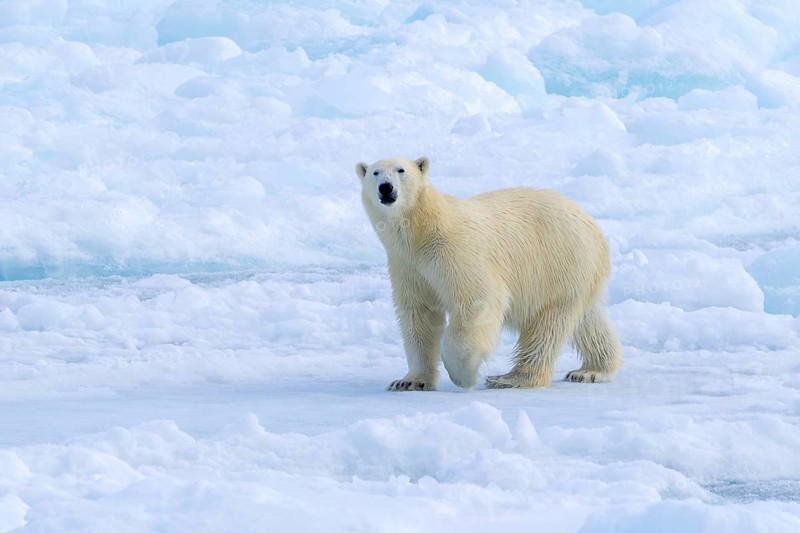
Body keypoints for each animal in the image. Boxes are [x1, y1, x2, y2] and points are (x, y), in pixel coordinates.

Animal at [356, 156, 622, 391]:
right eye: (375, 173)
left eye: (401, 170)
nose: (386, 188)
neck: (422, 233)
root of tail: (593, 227)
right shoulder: (408, 266)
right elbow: (418, 315)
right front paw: (409, 382)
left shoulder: (454, 251)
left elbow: (478, 298)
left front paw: (464, 374)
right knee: (587, 319)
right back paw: (591, 370)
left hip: (558, 263)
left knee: (547, 324)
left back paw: (511, 378)